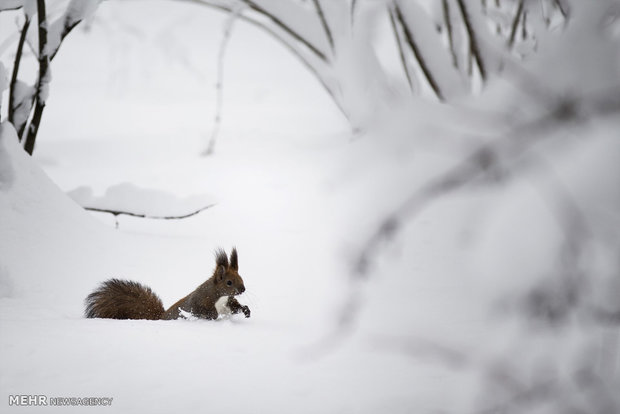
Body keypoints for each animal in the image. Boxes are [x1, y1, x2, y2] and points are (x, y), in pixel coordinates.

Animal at [84, 247, 249, 322]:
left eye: (241, 277)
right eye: (229, 282)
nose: (243, 289)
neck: (220, 296)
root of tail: (161, 318)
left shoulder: (227, 303)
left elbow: (234, 308)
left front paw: (246, 310)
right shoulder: (201, 300)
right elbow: (201, 310)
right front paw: (214, 316)